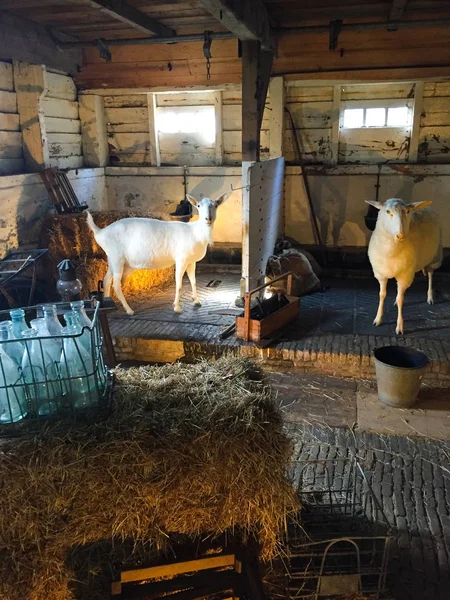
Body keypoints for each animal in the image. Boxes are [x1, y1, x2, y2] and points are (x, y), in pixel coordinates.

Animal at [85, 193, 229, 316]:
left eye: (216, 205)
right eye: (198, 206)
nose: (208, 219)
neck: (195, 232)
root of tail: (100, 232)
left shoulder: (191, 261)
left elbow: (193, 281)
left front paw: (197, 301)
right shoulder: (181, 259)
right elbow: (179, 284)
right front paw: (177, 307)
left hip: (112, 259)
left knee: (106, 280)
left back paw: (108, 302)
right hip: (117, 258)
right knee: (115, 284)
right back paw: (129, 310)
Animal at [366, 199, 442, 336]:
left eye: (407, 212)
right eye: (387, 211)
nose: (400, 235)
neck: (391, 250)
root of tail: (429, 208)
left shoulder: (404, 275)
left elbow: (401, 299)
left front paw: (400, 326)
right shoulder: (381, 274)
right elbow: (382, 295)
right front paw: (378, 319)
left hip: (434, 257)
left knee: (430, 276)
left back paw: (430, 297)